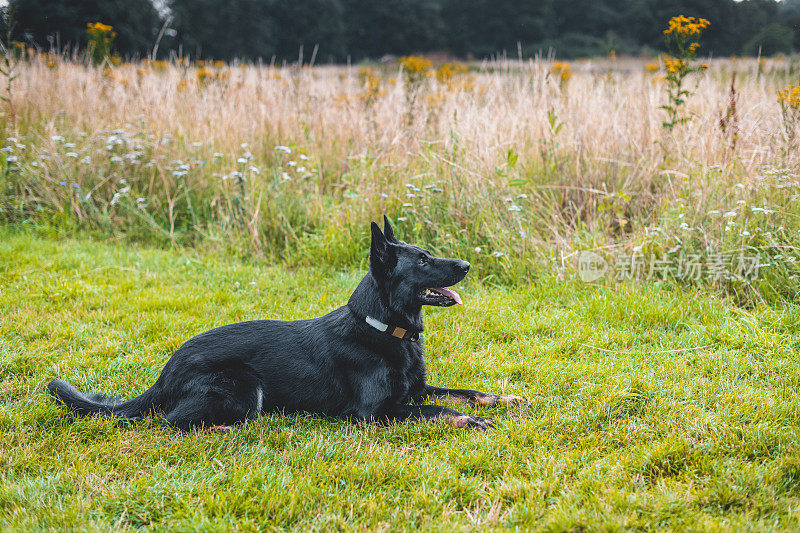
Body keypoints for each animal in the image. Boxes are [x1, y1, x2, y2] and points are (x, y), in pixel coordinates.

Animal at [47, 218, 528, 430]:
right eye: (424, 261)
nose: (466, 265)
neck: (381, 327)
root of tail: (167, 371)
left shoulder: (417, 388)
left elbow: (465, 391)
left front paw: (504, 399)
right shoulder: (375, 413)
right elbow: (436, 410)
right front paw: (468, 420)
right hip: (244, 389)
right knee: (172, 422)